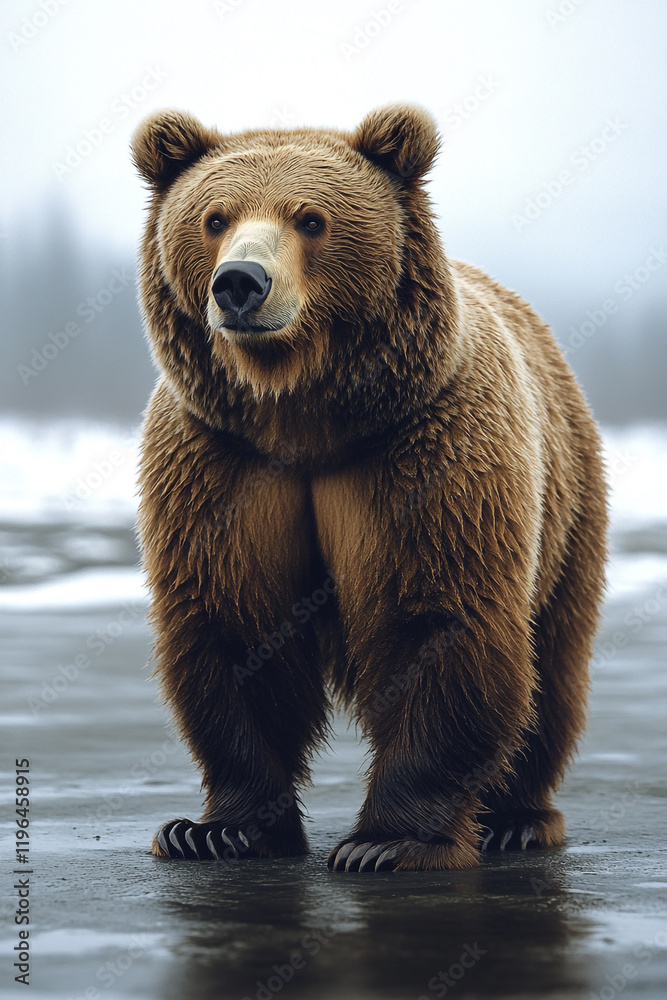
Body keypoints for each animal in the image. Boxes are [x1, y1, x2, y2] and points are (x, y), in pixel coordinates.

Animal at [130, 103, 607, 872]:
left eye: (310, 218)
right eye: (214, 217)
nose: (239, 283)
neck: (301, 417)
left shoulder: (422, 453)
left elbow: (438, 621)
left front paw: (386, 841)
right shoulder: (224, 464)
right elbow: (234, 626)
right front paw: (213, 830)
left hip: (568, 502)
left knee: (553, 664)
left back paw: (518, 819)